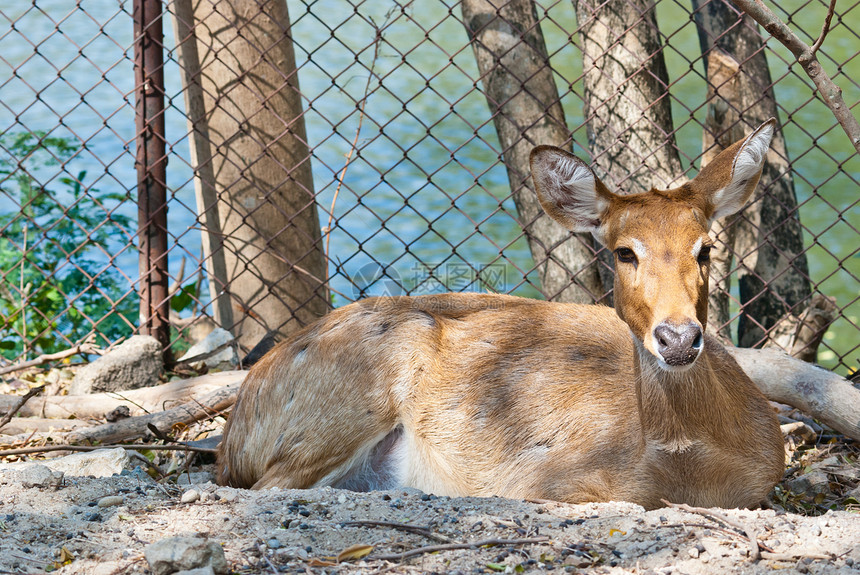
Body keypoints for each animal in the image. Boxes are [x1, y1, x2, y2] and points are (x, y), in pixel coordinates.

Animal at [215, 119, 788, 510]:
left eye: (706, 248)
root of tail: (235, 429)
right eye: (625, 252)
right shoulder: (541, 479)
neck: (688, 463)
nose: (678, 337)